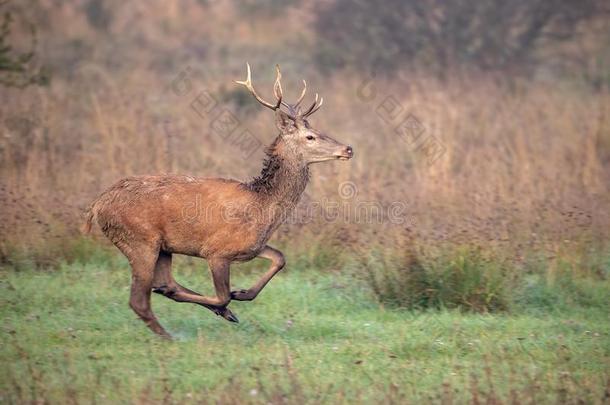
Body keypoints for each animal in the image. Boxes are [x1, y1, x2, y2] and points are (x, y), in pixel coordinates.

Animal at [83, 63, 354, 336]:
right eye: (310, 136)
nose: (348, 149)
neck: (262, 206)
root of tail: (97, 206)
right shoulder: (216, 251)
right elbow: (223, 295)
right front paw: (230, 303)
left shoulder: (251, 246)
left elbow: (279, 258)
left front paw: (242, 293)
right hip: (138, 239)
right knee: (140, 298)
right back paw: (171, 334)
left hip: (162, 247)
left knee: (163, 282)